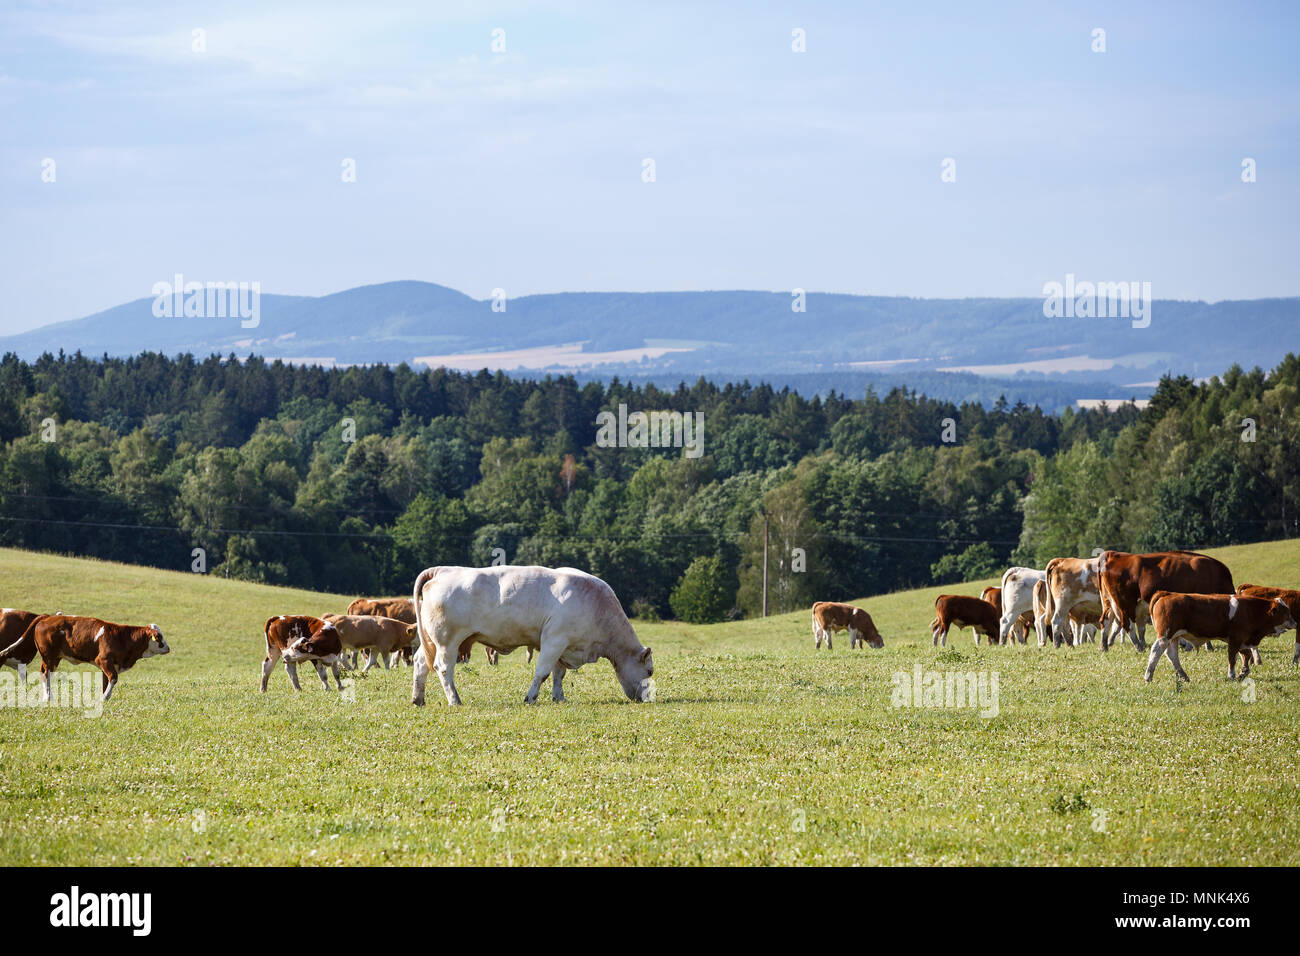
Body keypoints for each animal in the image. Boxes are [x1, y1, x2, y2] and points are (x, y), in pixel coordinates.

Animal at [5, 614, 169, 702]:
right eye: (159, 637)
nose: (168, 648)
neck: (123, 637)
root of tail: (49, 617)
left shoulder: (109, 665)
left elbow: (106, 681)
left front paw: (104, 697)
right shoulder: (103, 660)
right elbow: (113, 678)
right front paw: (104, 697)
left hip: (54, 657)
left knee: (47, 673)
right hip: (48, 655)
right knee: (45, 673)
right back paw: (48, 696)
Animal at [284, 614, 419, 673]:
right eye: (418, 632)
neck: (394, 627)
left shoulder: (375, 648)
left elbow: (371, 661)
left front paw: (364, 671)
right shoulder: (384, 647)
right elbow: (386, 660)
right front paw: (388, 671)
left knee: (342, 659)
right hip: (341, 647)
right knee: (342, 659)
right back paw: (349, 669)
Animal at [410, 565, 654, 706]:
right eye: (650, 671)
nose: (646, 699)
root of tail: (443, 570)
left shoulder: (564, 645)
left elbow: (558, 673)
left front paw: (559, 697)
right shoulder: (554, 640)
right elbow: (542, 673)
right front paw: (530, 698)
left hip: (430, 640)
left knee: (420, 663)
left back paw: (418, 699)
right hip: (447, 641)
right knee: (443, 668)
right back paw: (454, 700)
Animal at [1097, 550, 1234, 651]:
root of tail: (1112, 554)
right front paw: (1206, 646)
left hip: (1109, 601)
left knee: (1106, 620)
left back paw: (1104, 647)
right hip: (1125, 603)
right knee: (1127, 624)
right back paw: (1139, 647)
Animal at [1145, 591, 1295, 682]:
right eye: (1286, 612)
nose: (1295, 622)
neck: (1251, 610)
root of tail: (1168, 594)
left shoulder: (1242, 640)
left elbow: (1246, 655)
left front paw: (1243, 672)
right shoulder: (1235, 638)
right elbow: (1232, 658)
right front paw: (1231, 675)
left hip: (1173, 637)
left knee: (1172, 655)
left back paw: (1184, 676)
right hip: (1165, 635)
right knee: (1156, 651)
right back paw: (1148, 676)